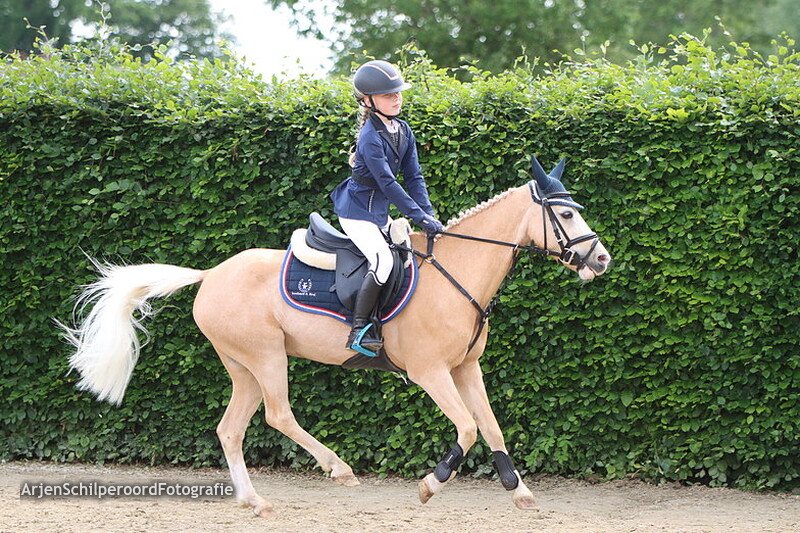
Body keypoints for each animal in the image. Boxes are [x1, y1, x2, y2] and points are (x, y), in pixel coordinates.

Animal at [59, 156, 611, 516]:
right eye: (565, 214)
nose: (601, 259)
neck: (457, 272)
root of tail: (211, 273)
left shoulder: (464, 368)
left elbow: (491, 428)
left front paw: (518, 491)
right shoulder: (431, 372)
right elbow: (468, 429)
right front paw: (430, 485)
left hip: (243, 367)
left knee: (231, 430)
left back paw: (255, 501)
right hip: (266, 357)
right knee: (278, 415)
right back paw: (338, 467)